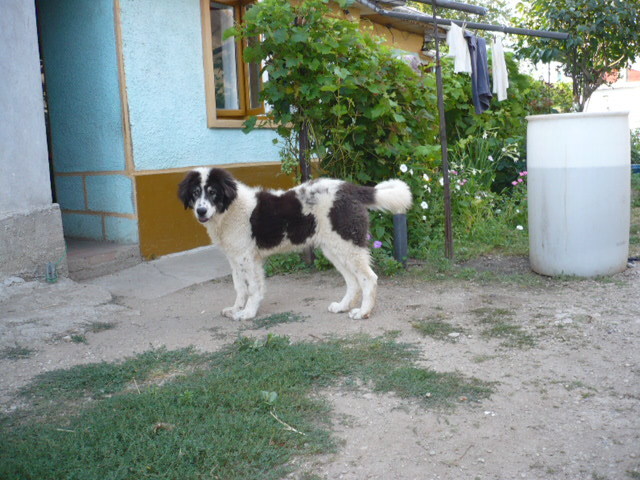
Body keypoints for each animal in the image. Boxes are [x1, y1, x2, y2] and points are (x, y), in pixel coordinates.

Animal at [178, 167, 412, 320]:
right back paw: (342, 307)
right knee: (353, 281)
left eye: (213, 192)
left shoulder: (247, 258)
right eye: (196, 193)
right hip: (334, 249)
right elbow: (240, 288)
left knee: (369, 278)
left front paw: (248, 313)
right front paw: (236, 309)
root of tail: (349, 188)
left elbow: (252, 288)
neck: (229, 209)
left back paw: (363, 312)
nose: (201, 211)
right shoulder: (235, 258)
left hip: (348, 245)